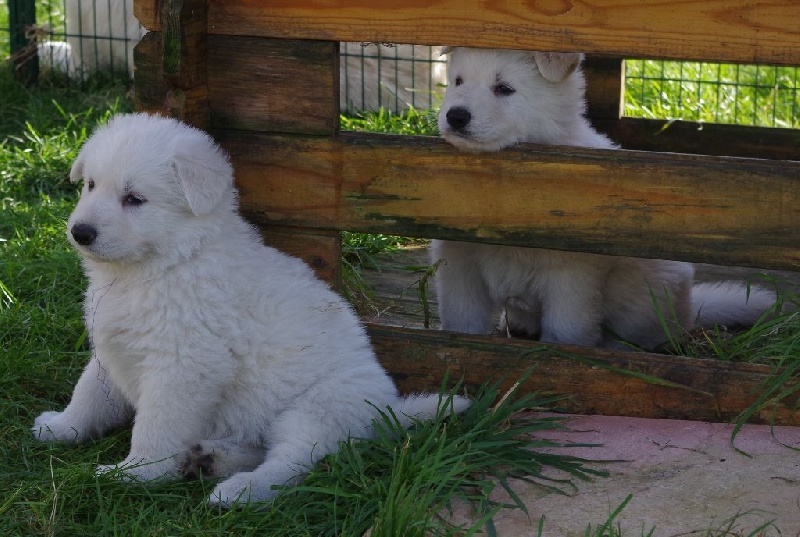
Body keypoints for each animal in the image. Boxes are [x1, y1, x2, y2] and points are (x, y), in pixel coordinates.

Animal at [32, 113, 468, 507]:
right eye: (90, 185)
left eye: (135, 199)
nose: (80, 233)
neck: (165, 262)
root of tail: (387, 411)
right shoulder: (112, 347)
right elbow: (88, 394)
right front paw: (60, 428)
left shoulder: (184, 365)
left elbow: (156, 427)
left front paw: (135, 473)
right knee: (261, 446)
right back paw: (210, 459)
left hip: (319, 407)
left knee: (292, 463)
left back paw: (239, 490)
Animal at [431, 47, 776, 350]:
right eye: (458, 81)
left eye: (504, 88)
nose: (456, 116)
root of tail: (691, 310)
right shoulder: (459, 263)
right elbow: (462, 320)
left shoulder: (571, 274)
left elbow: (566, 329)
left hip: (647, 294)